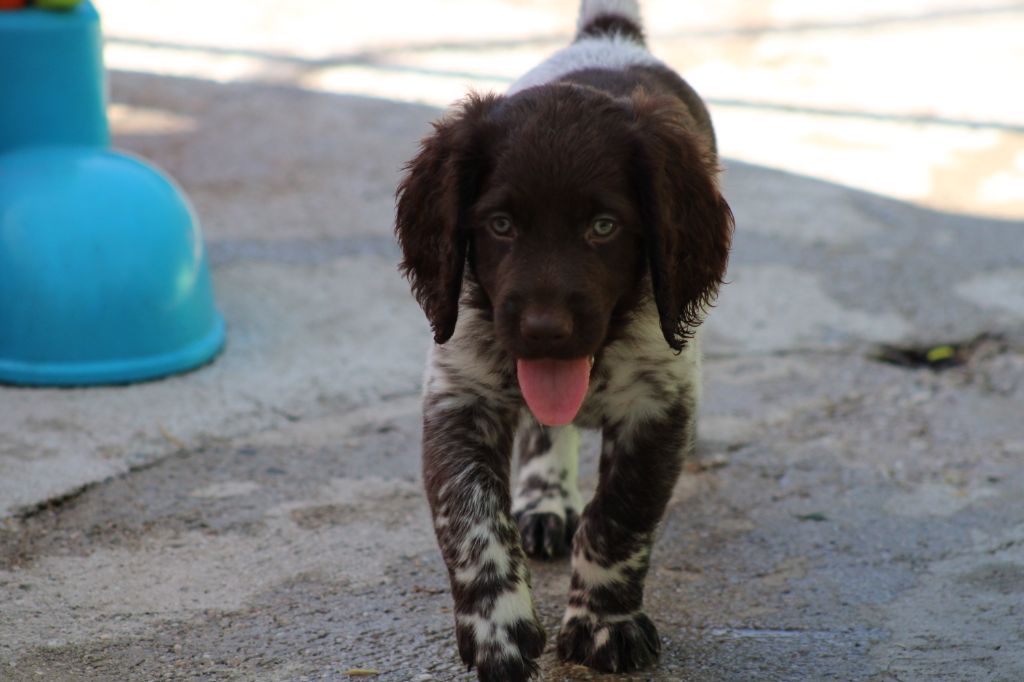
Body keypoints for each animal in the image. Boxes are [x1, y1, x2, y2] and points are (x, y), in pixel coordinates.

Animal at [395, 1, 733, 675]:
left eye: (604, 227)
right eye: (500, 225)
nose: (545, 330)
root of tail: (610, 35)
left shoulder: (658, 407)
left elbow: (620, 516)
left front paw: (605, 623)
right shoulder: (458, 396)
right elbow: (470, 518)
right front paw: (498, 628)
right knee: (544, 431)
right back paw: (545, 499)